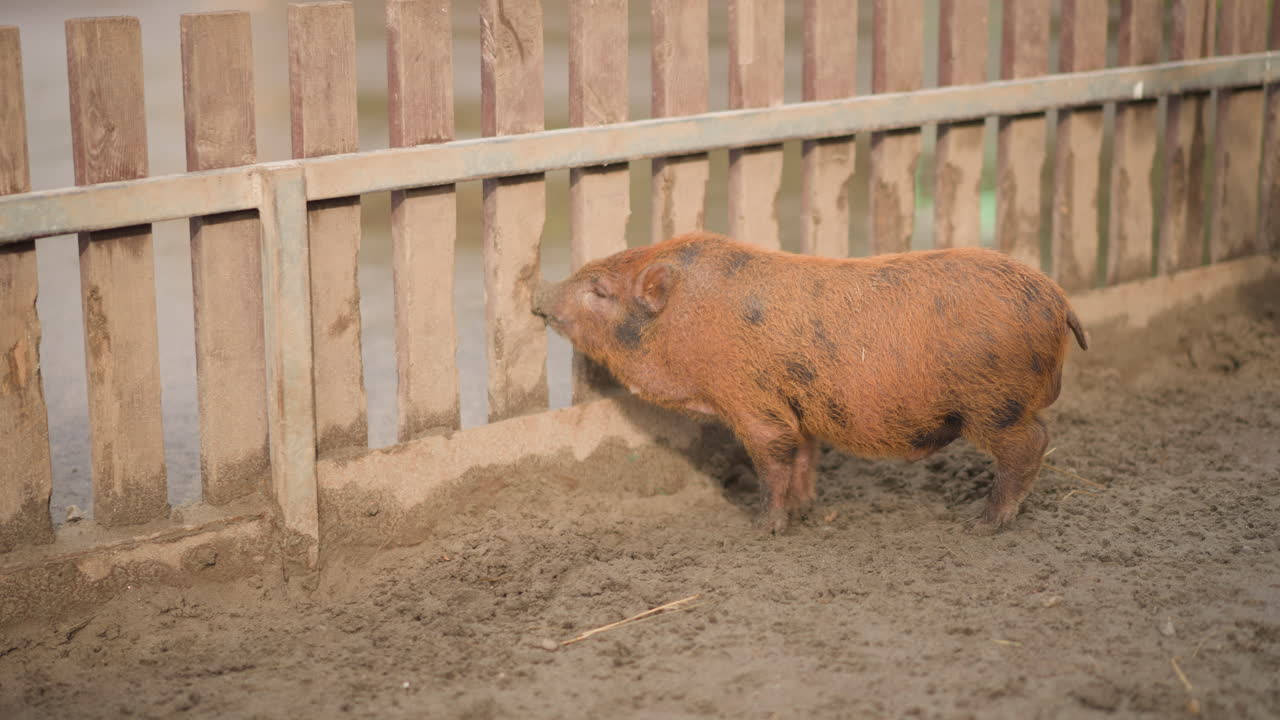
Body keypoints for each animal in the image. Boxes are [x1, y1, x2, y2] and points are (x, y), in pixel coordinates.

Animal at [533, 232, 1089, 533]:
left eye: (599, 290)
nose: (537, 294)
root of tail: (1059, 300)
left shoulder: (751, 402)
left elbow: (772, 462)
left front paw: (763, 529)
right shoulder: (795, 406)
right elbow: (802, 456)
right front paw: (804, 511)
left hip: (994, 404)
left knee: (1032, 442)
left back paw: (985, 523)